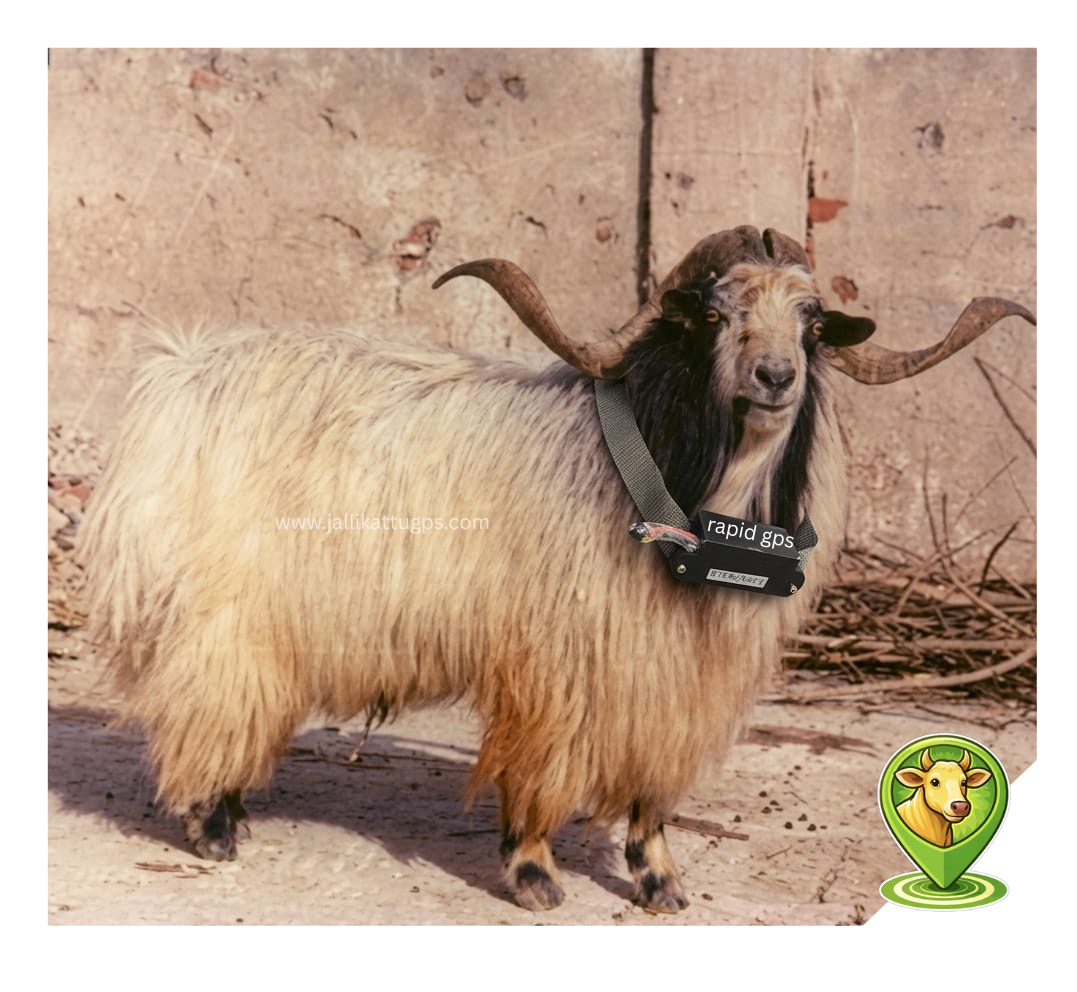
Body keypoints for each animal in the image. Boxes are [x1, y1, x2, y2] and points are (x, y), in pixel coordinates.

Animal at [80, 226, 1032, 913]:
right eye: (713, 315)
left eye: (810, 321)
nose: (774, 377)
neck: (661, 477)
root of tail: (174, 377)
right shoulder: (555, 666)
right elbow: (542, 768)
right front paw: (533, 875)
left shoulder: (669, 675)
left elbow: (652, 787)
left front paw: (659, 883)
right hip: (223, 614)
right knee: (207, 705)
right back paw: (211, 828)